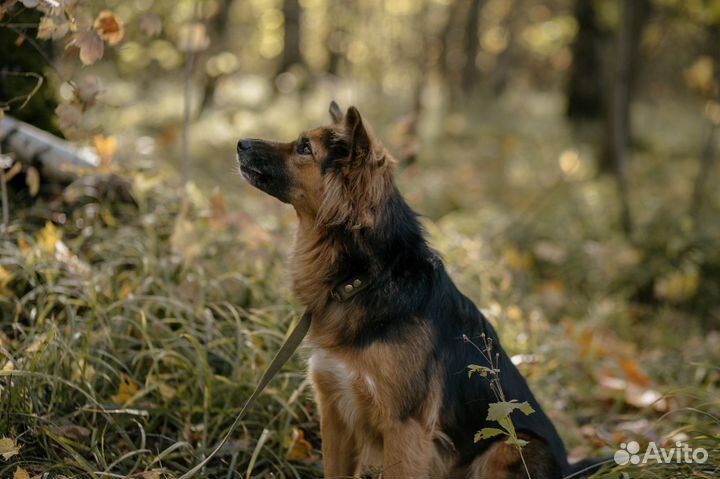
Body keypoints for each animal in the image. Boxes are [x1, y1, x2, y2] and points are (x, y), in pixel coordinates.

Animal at [238, 103, 596, 478]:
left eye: (304, 147)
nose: (240, 143)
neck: (368, 277)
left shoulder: (404, 427)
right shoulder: (335, 410)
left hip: (509, 447)